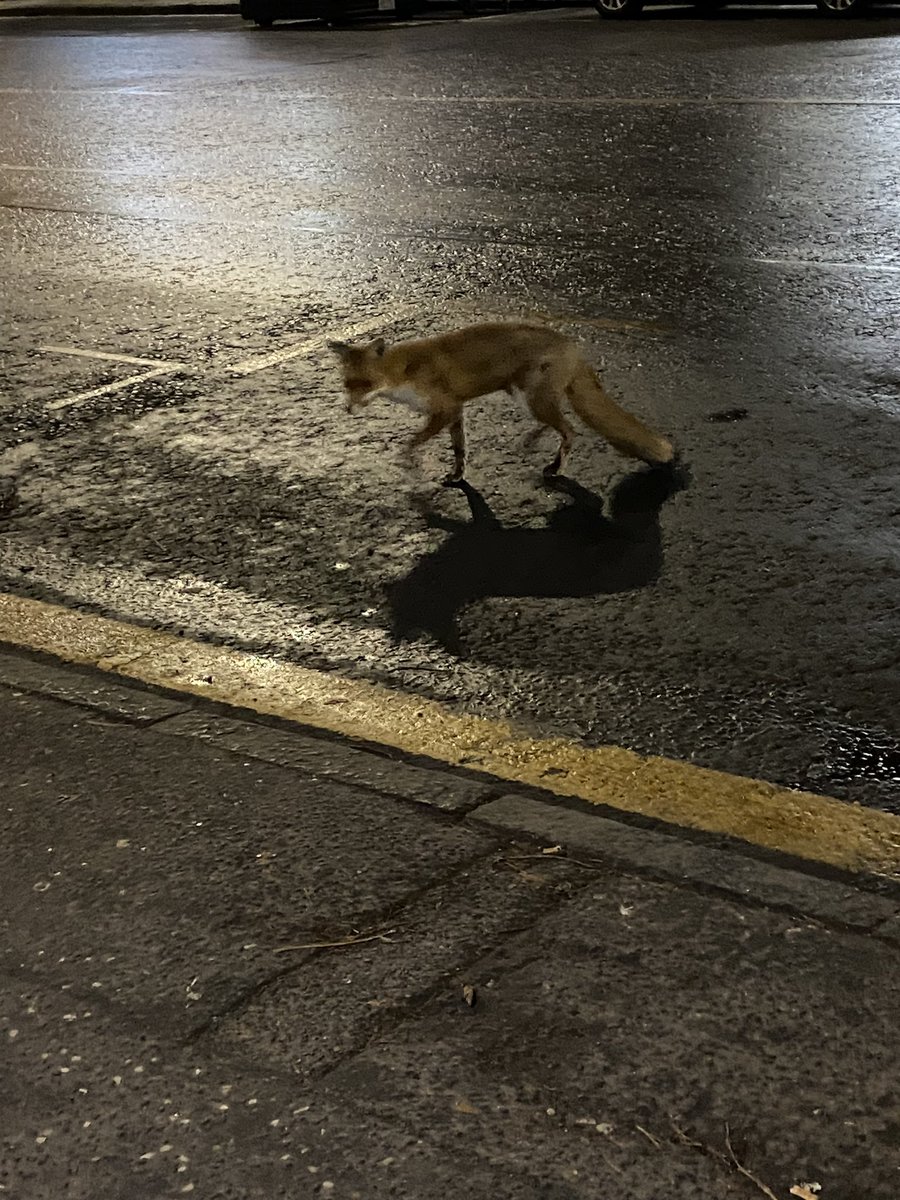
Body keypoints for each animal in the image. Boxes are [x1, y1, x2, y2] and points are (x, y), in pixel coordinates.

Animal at [328, 324, 672, 487]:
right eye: (347, 385)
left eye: (365, 384)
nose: (348, 410)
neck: (405, 372)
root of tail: (573, 347)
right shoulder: (456, 411)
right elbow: (459, 451)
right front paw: (457, 477)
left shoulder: (445, 409)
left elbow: (412, 443)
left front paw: (409, 463)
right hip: (528, 399)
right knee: (554, 425)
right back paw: (532, 441)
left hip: (533, 398)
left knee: (570, 430)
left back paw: (555, 467)